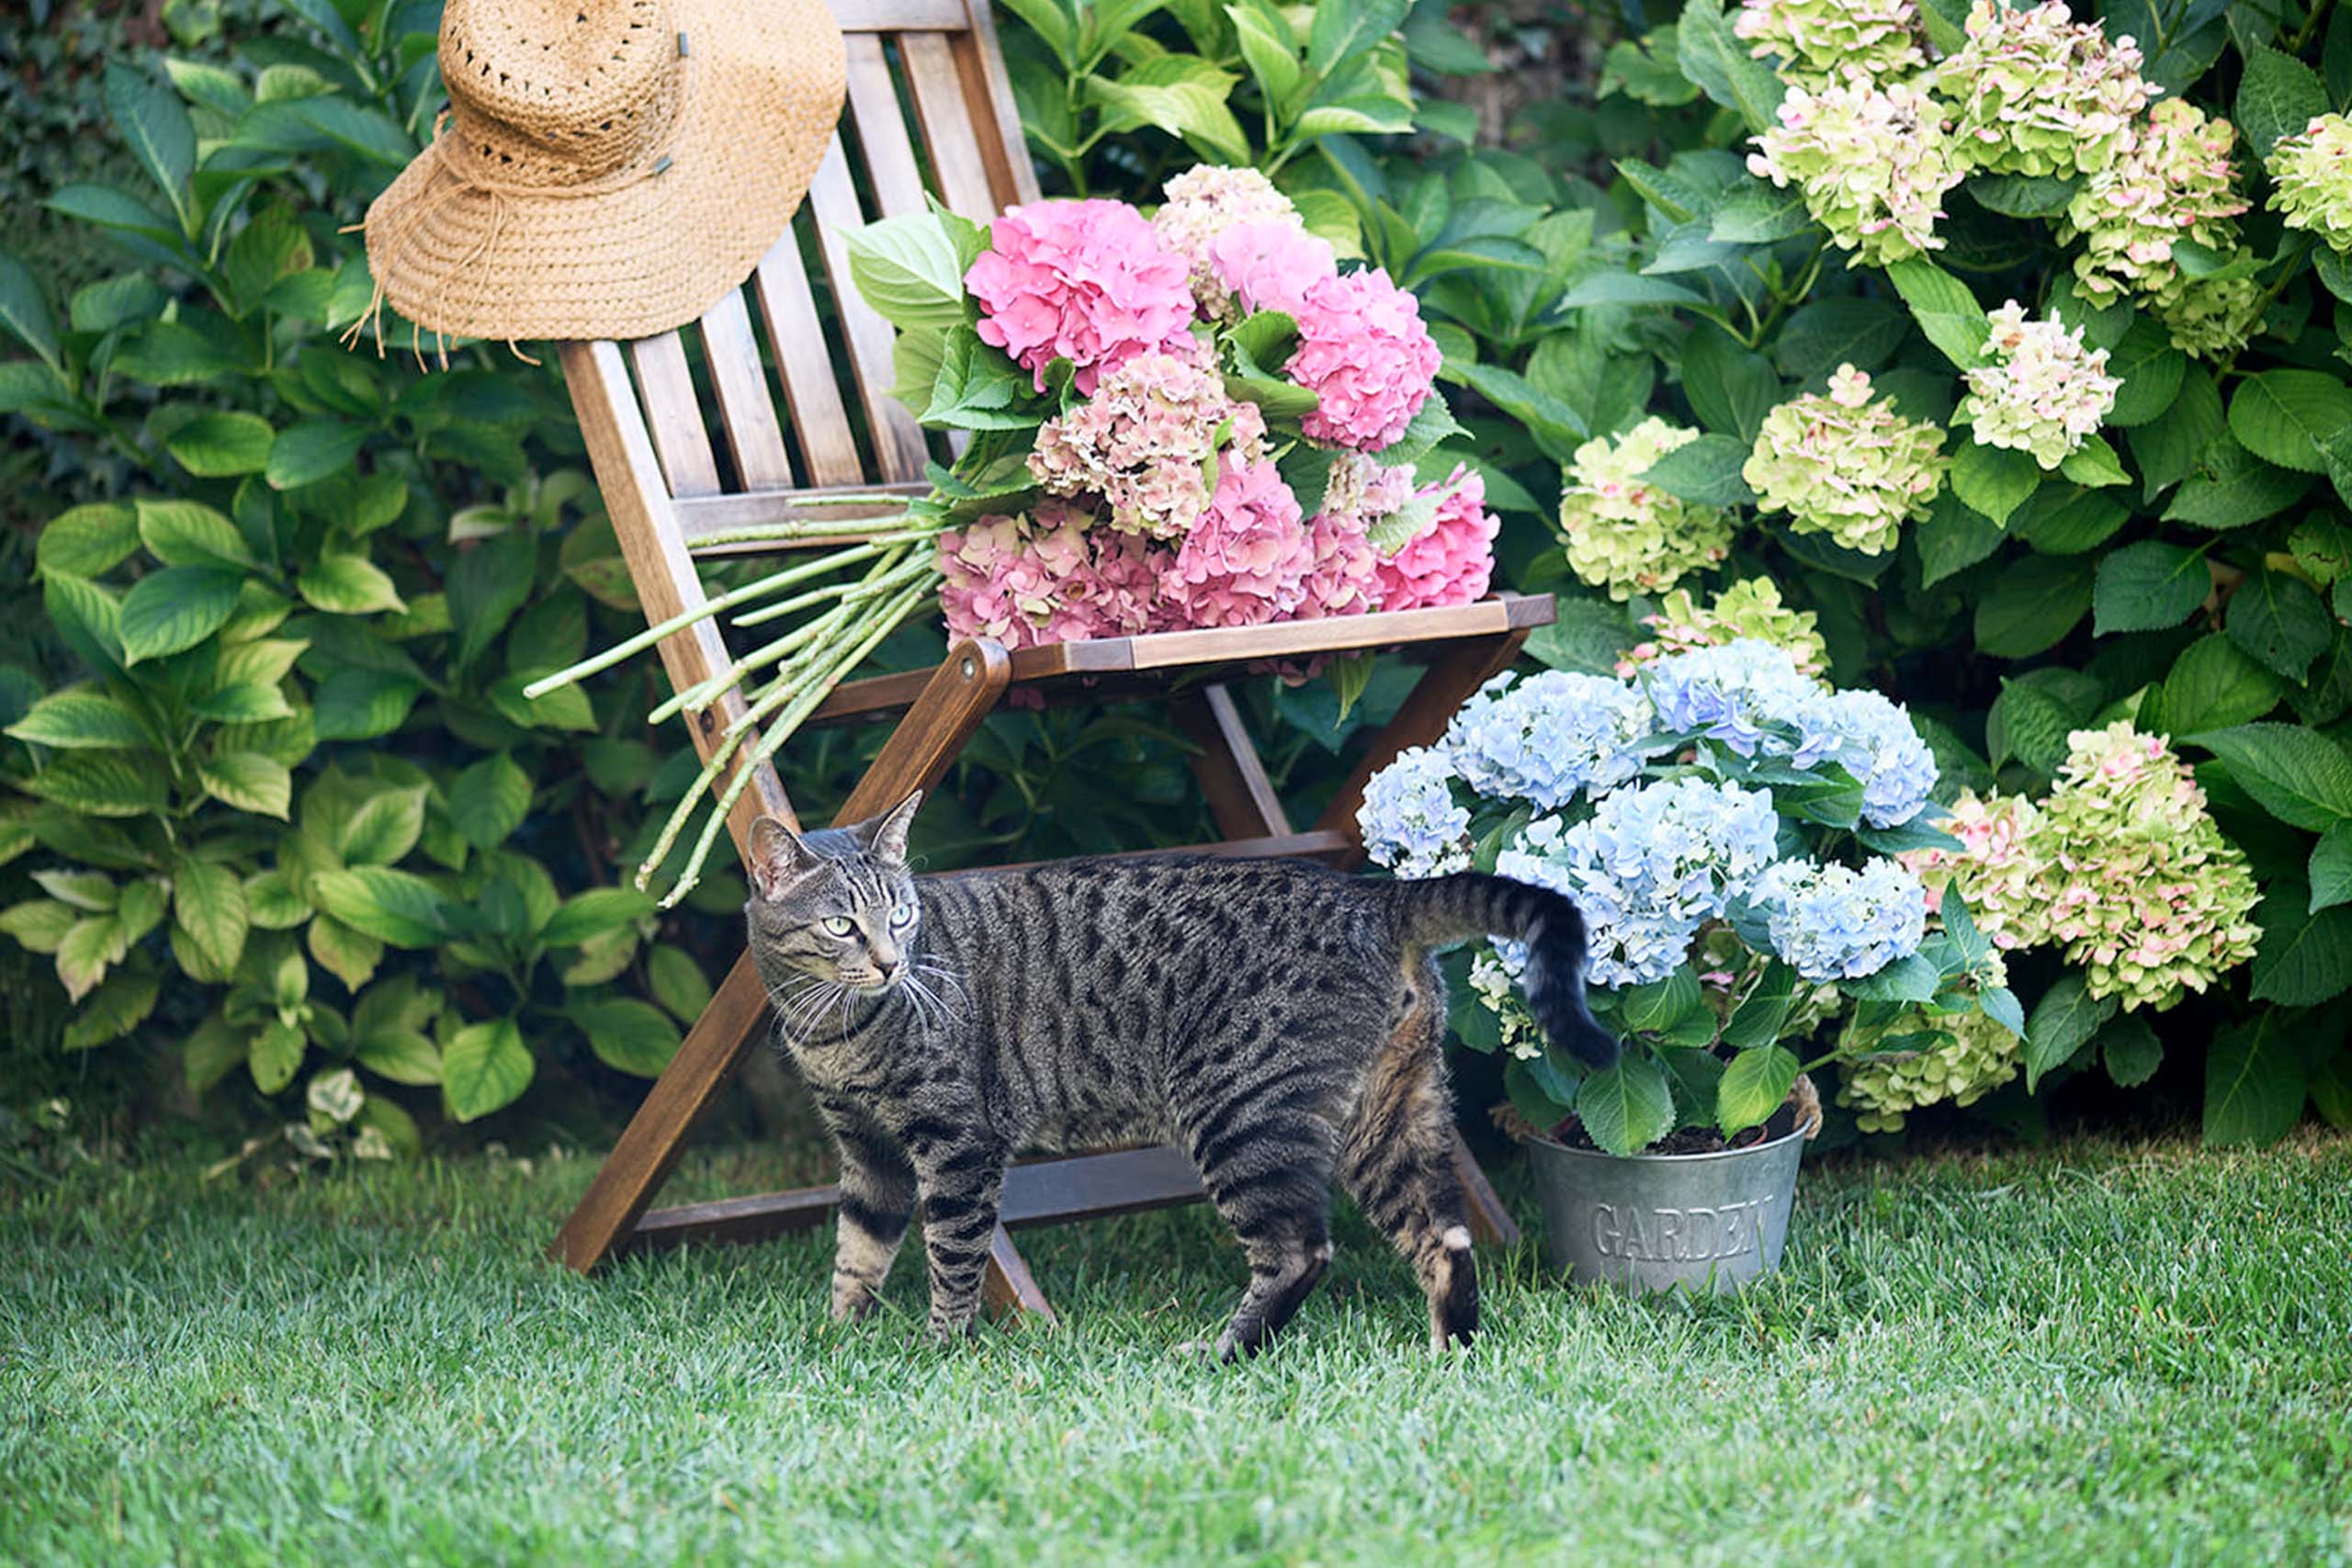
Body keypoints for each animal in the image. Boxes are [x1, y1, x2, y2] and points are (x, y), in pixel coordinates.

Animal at [748, 789, 1618, 1354]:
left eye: (899, 915)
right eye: (841, 924)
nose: (890, 962)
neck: (829, 1028)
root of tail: (1371, 898)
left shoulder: (956, 1143)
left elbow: (953, 1257)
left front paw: (939, 1350)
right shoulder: (868, 1151)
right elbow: (856, 1252)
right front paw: (838, 1340)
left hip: (1241, 1112)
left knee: (1302, 1251)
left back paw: (1223, 1351)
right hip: (1390, 1118)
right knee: (1445, 1239)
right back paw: (1449, 1354)